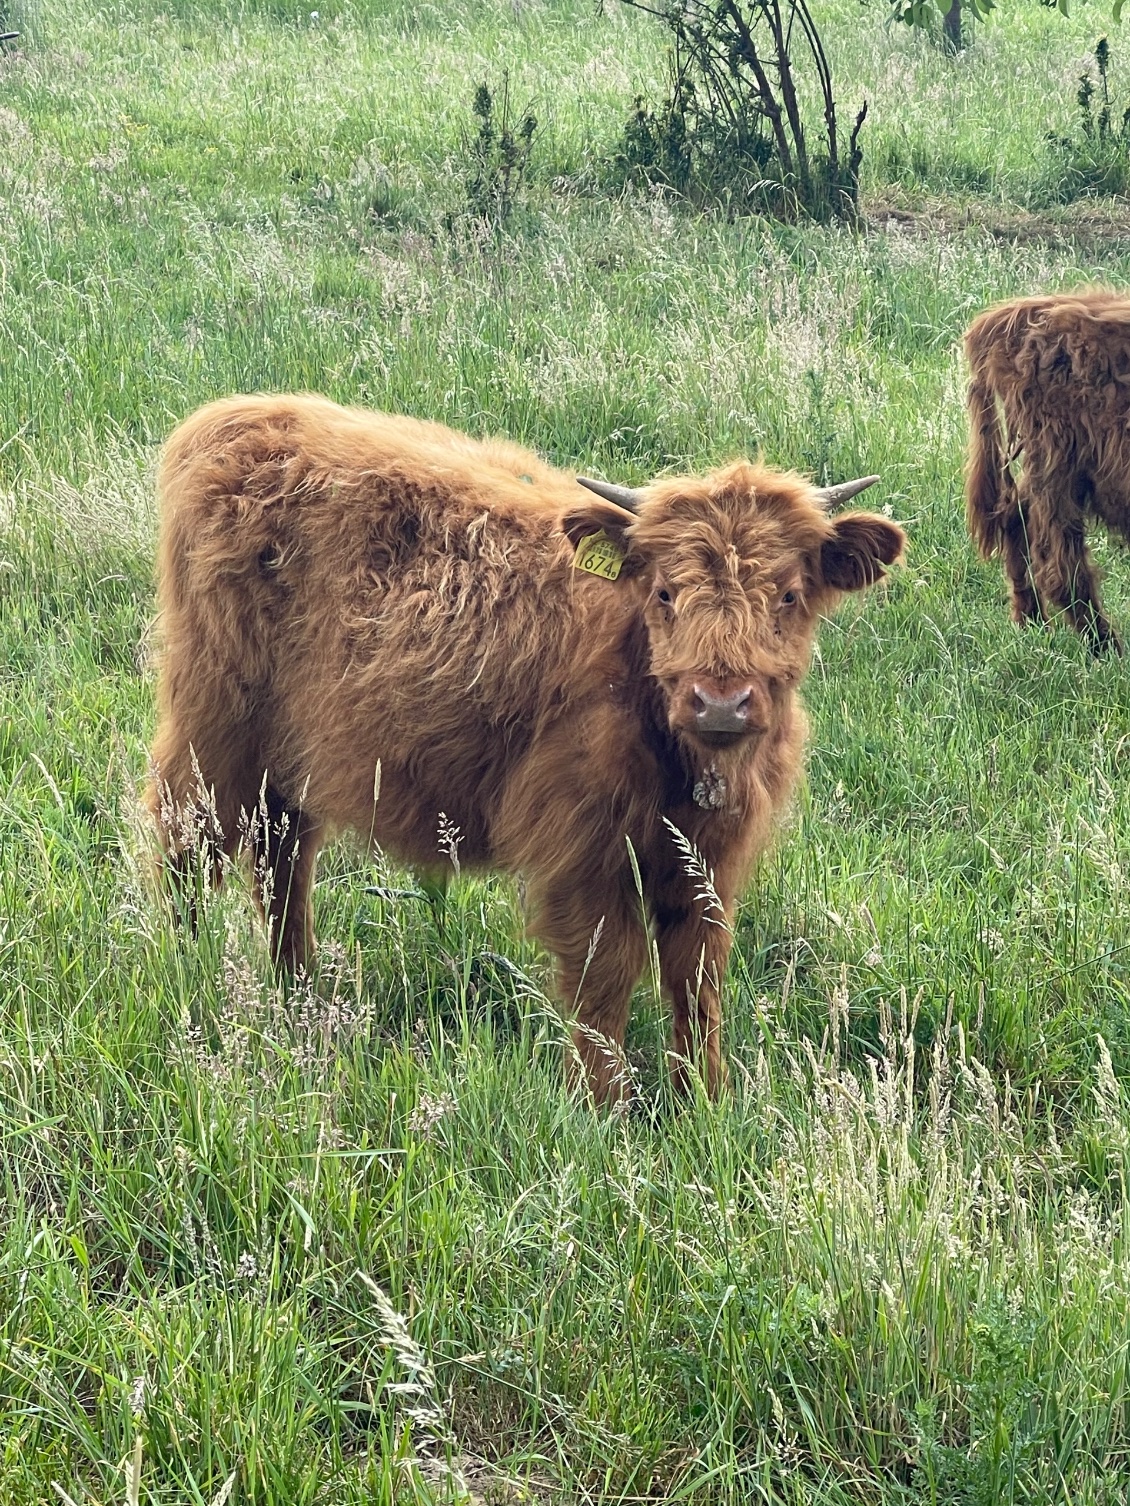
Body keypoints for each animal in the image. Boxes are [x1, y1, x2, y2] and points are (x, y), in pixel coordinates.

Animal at [147, 394, 904, 1104]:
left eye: (788, 595)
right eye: (665, 593)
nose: (720, 701)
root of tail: (235, 416)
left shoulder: (708, 862)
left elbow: (696, 979)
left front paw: (703, 1103)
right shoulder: (584, 856)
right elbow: (604, 978)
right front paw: (603, 1105)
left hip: (289, 756)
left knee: (281, 855)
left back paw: (297, 991)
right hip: (214, 725)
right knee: (187, 840)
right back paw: (183, 975)